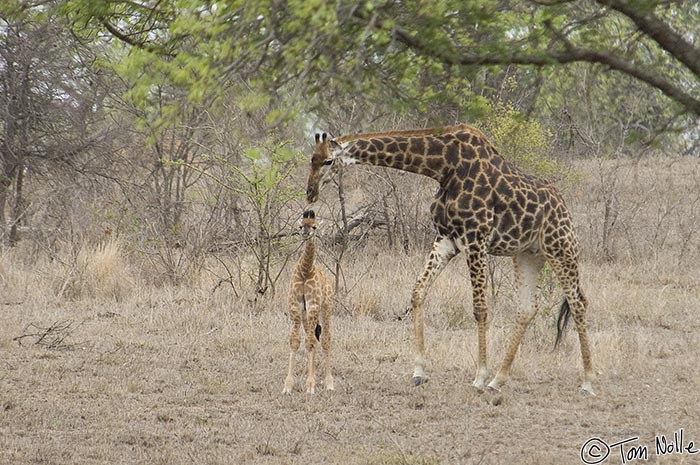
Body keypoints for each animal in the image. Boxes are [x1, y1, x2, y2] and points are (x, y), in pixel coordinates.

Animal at [284, 210, 334, 396]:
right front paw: (288, 386)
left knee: (325, 339)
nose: (306, 234)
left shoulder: (313, 306)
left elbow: (311, 342)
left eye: (314, 226)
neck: (306, 270)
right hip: (306, 315)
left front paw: (310, 385)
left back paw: (329, 383)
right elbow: (295, 341)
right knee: (312, 338)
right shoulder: (296, 306)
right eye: (300, 226)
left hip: (326, 308)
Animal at [304, 125, 592, 394]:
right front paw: (419, 372)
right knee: (527, 308)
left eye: (328, 161)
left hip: (560, 248)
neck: (443, 166)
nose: (310, 192)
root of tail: (563, 205)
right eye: (311, 159)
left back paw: (588, 381)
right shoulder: (446, 239)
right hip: (527, 255)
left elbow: (480, 309)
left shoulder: (475, 240)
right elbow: (418, 292)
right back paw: (499, 380)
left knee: (579, 302)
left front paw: (479, 376)